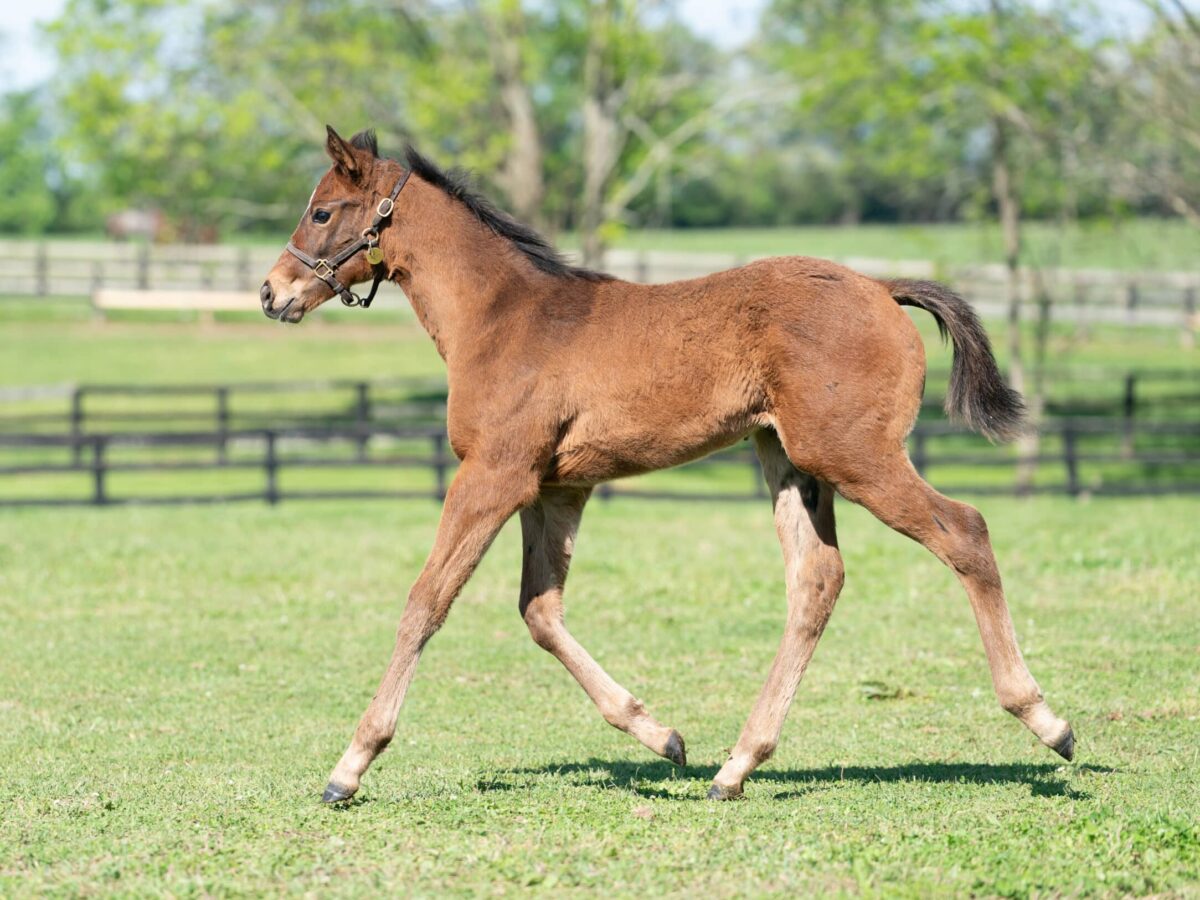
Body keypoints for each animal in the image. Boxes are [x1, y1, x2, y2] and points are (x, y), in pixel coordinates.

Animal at [260, 127, 1070, 801]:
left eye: (323, 212)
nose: (272, 292)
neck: (502, 317)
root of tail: (879, 287)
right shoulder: (557, 488)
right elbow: (539, 611)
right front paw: (663, 737)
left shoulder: (494, 475)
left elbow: (426, 601)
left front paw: (349, 766)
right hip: (789, 462)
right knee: (816, 581)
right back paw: (735, 767)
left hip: (854, 454)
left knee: (965, 531)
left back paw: (1046, 721)